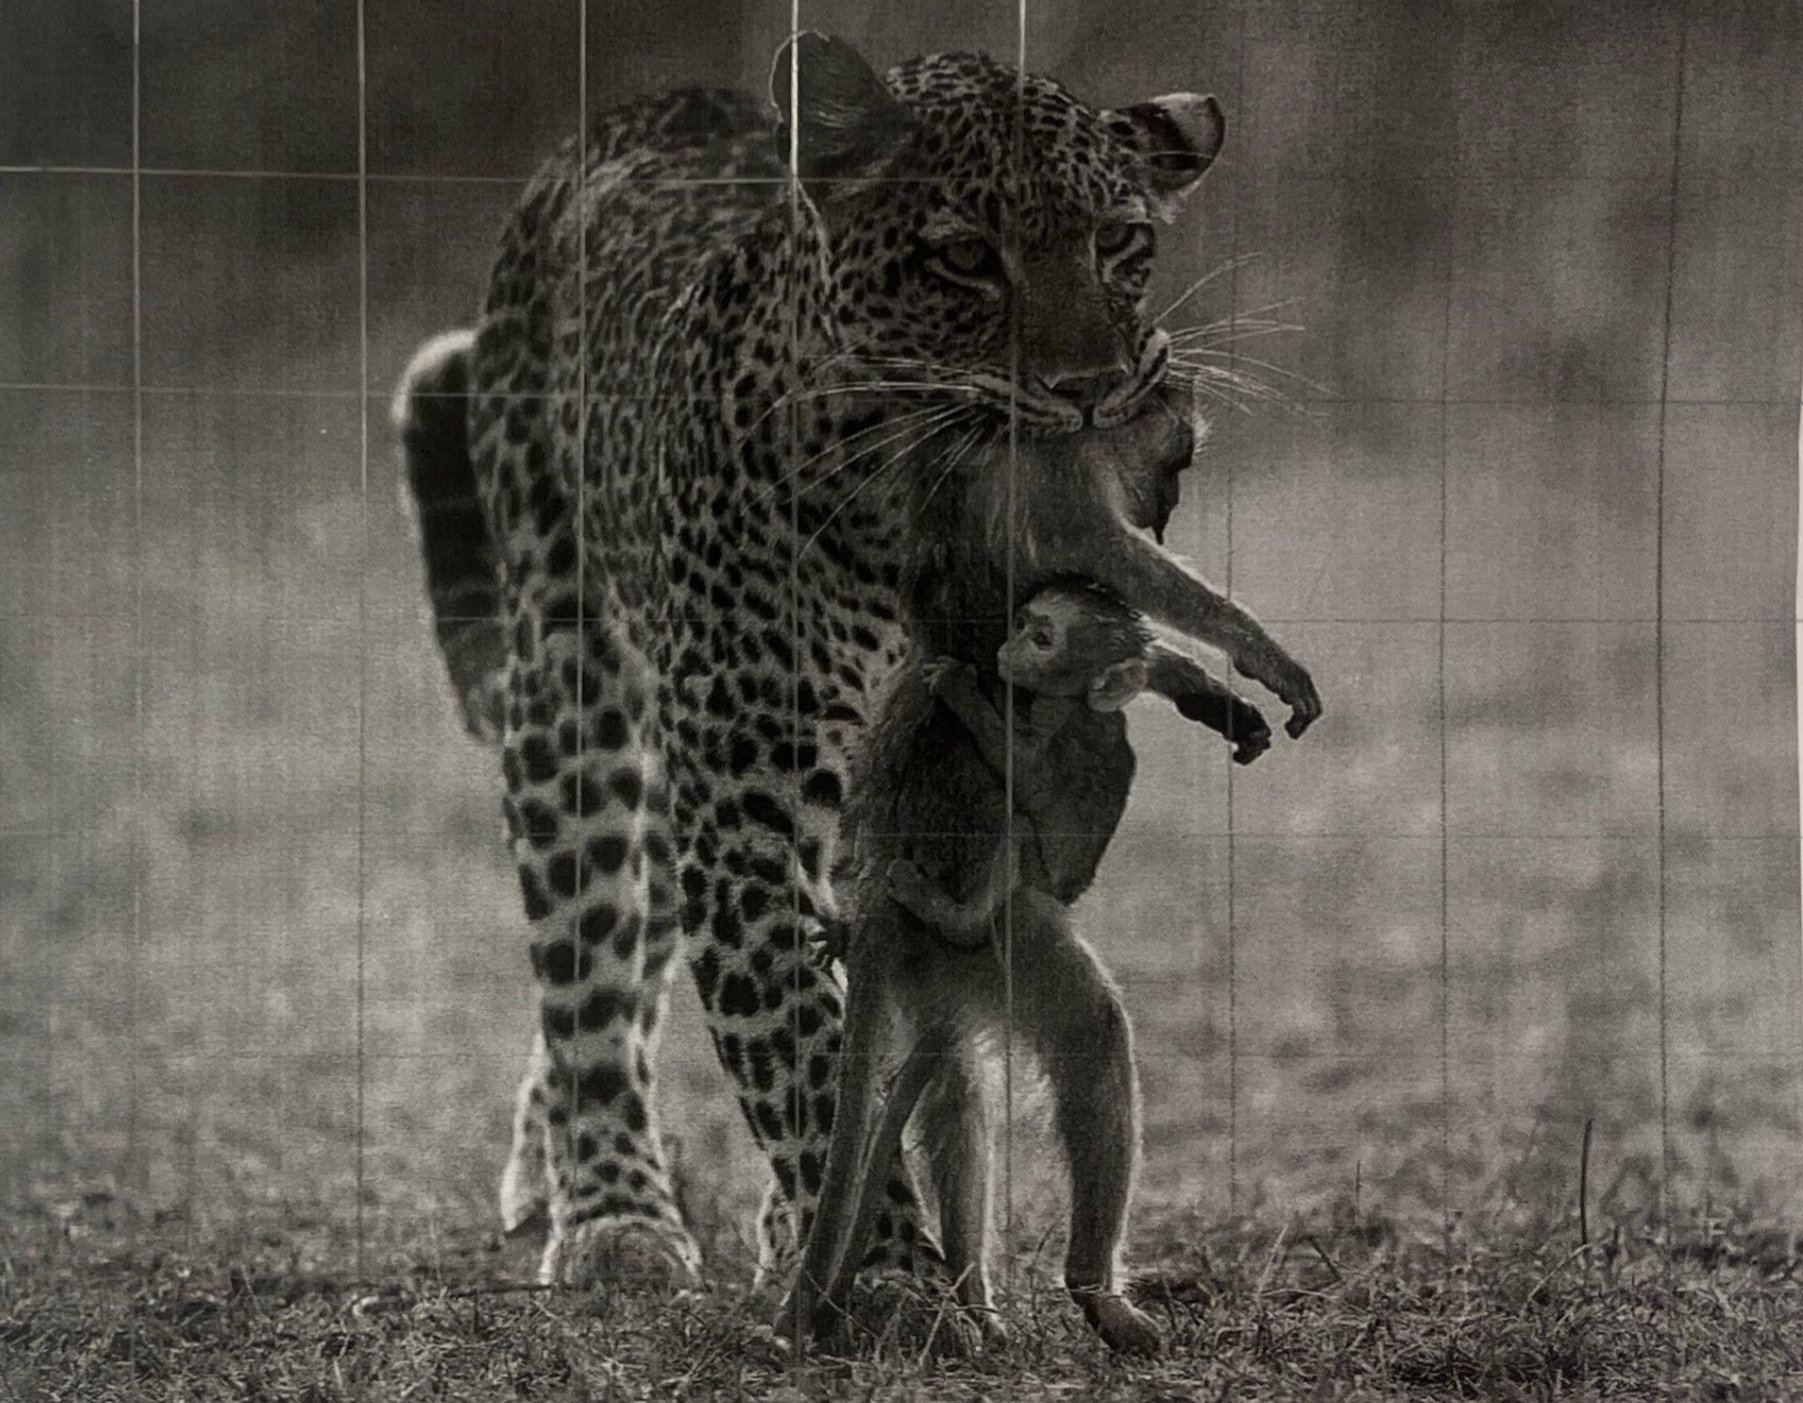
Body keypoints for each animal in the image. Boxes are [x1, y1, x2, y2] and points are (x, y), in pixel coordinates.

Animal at [394, 31, 1313, 1291]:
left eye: (1119, 242)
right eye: (966, 256)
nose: (1091, 390)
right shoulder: (742, 787)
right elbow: (798, 1037)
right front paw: (881, 1267)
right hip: (576, 681)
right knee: (584, 948)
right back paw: (611, 1203)